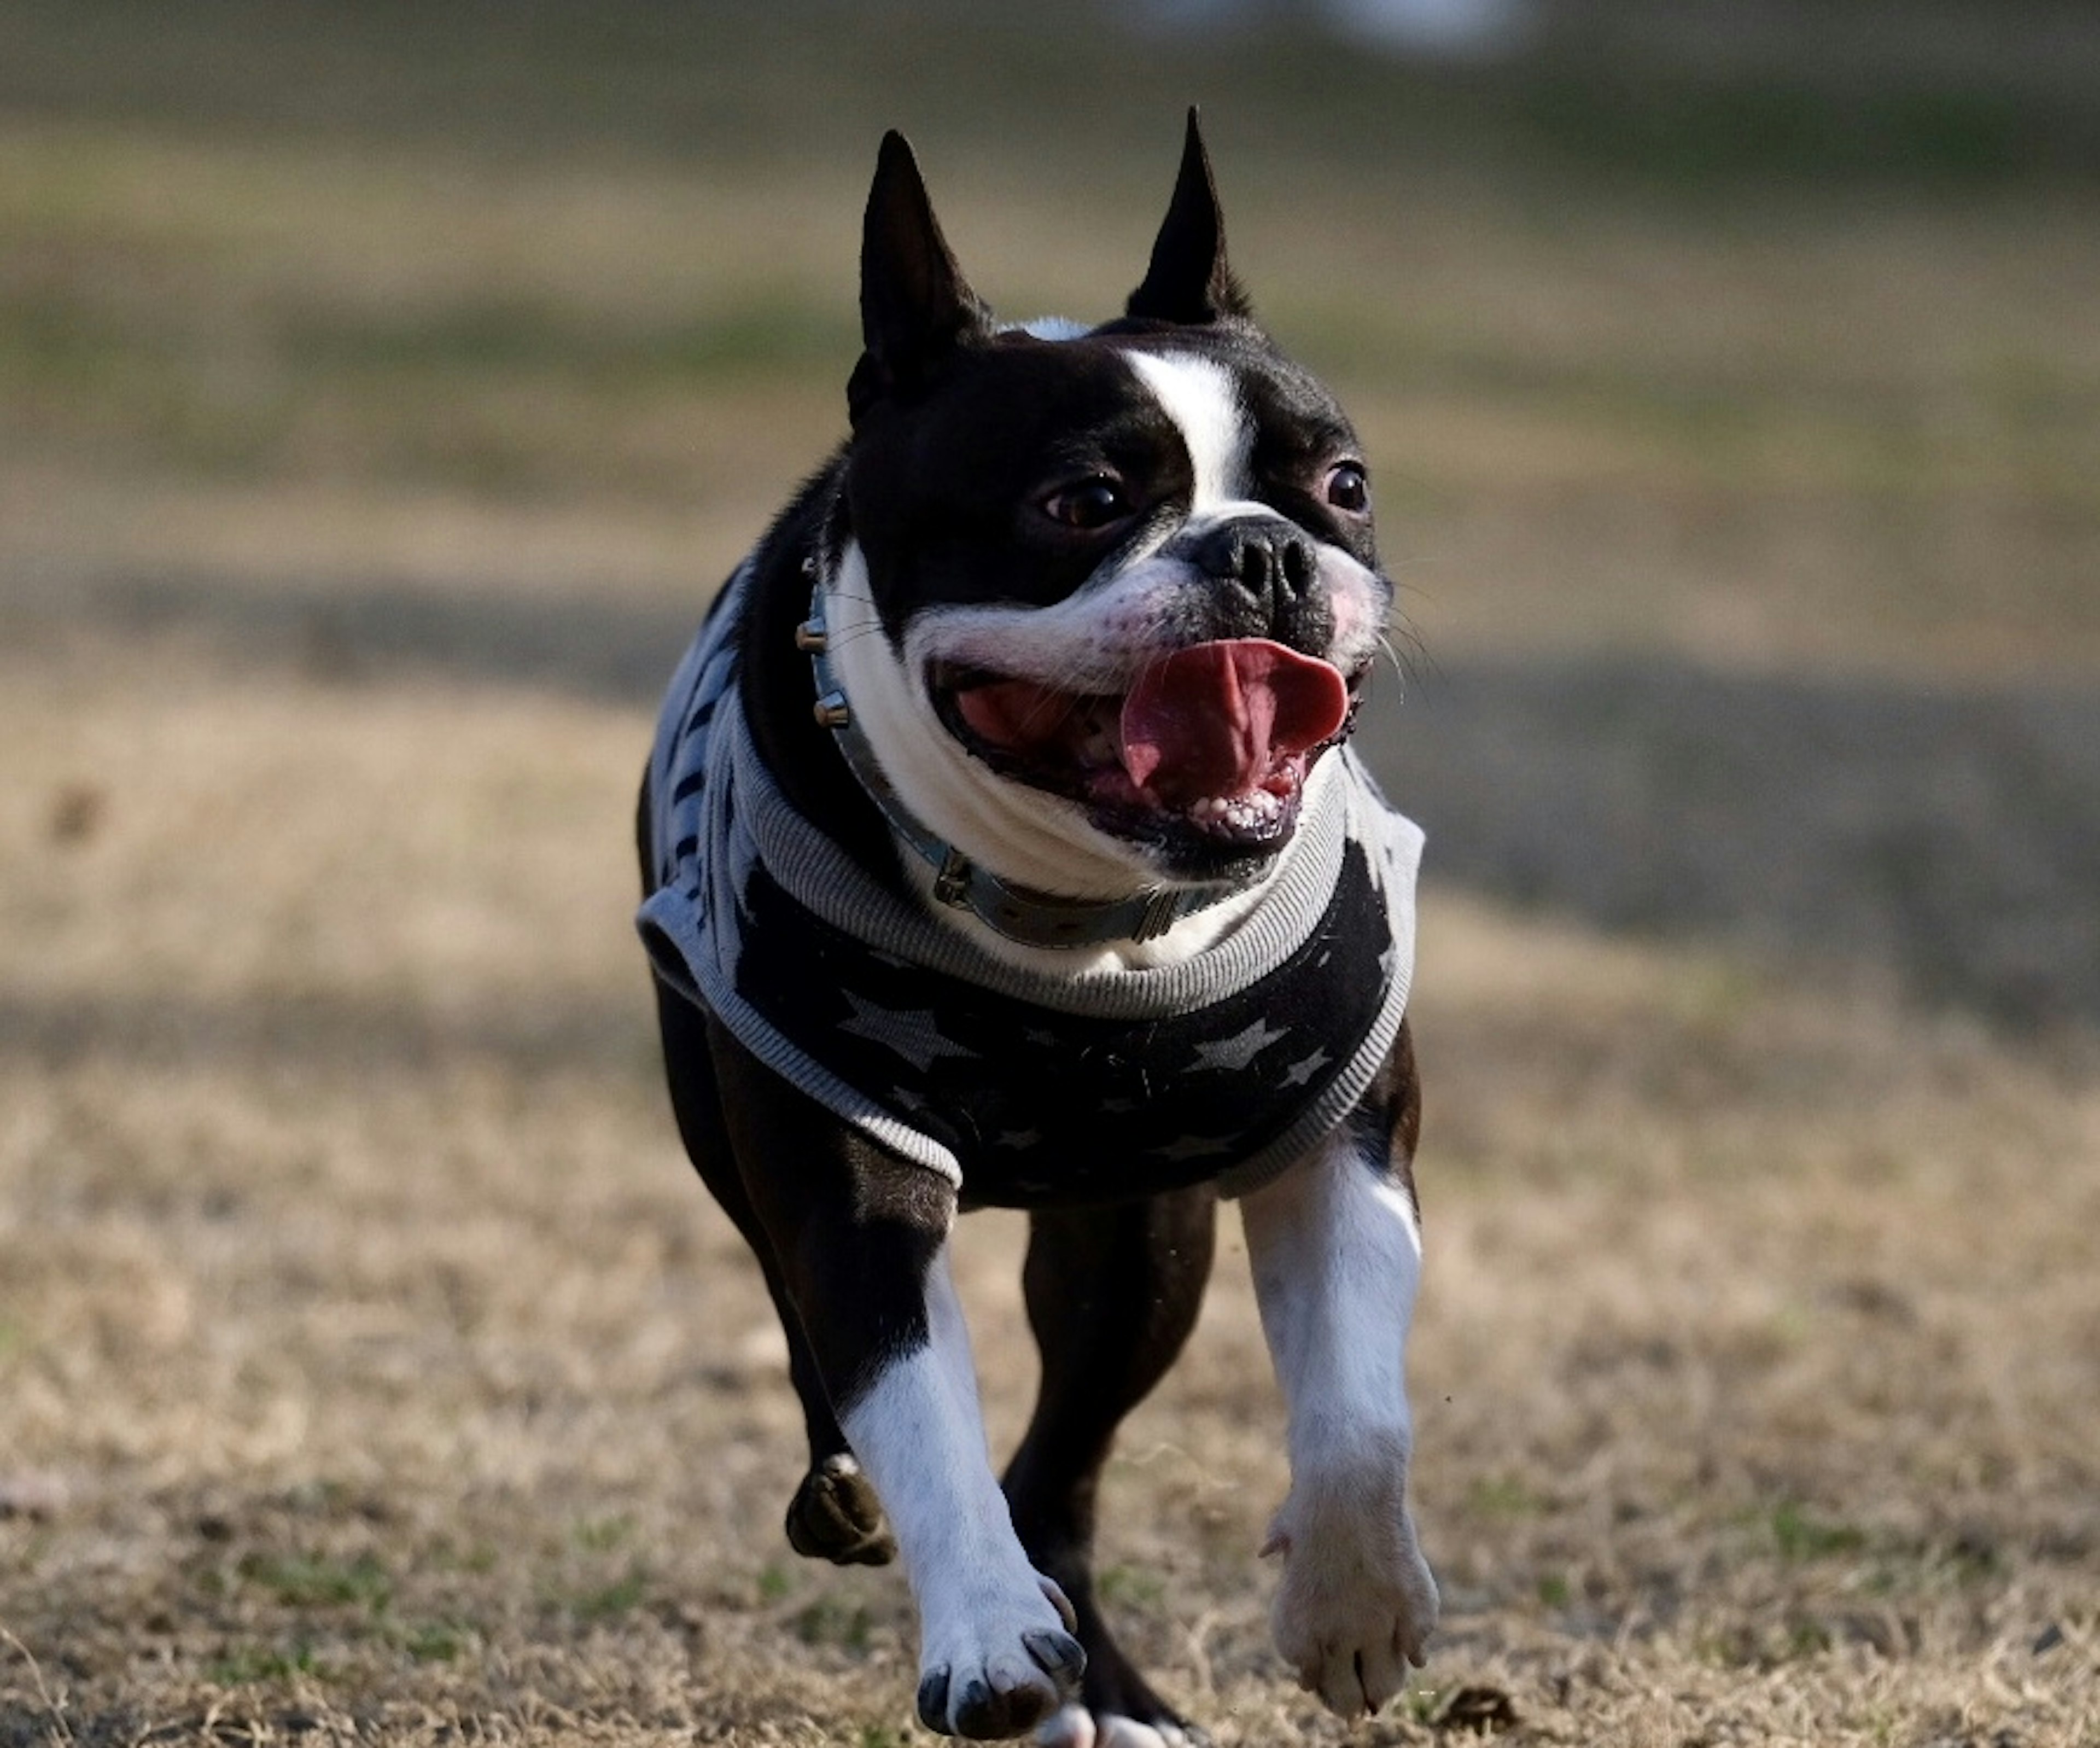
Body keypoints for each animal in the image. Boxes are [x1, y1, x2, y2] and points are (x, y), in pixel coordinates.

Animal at [630, 116, 1436, 1739]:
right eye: (1082, 504)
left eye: (1341, 483)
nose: (1259, 553)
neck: (1089, 915)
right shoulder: (845, 1176)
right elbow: (910, 1397)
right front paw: (990, 1639)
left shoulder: (1346, 1134)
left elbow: (1358, 1410)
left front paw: (1352, 1602)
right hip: (725, 1120)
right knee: (836, 1361)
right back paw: (877, 1517)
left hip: (1138, 1246)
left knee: (1064, 1456)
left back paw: (1113, 1683)